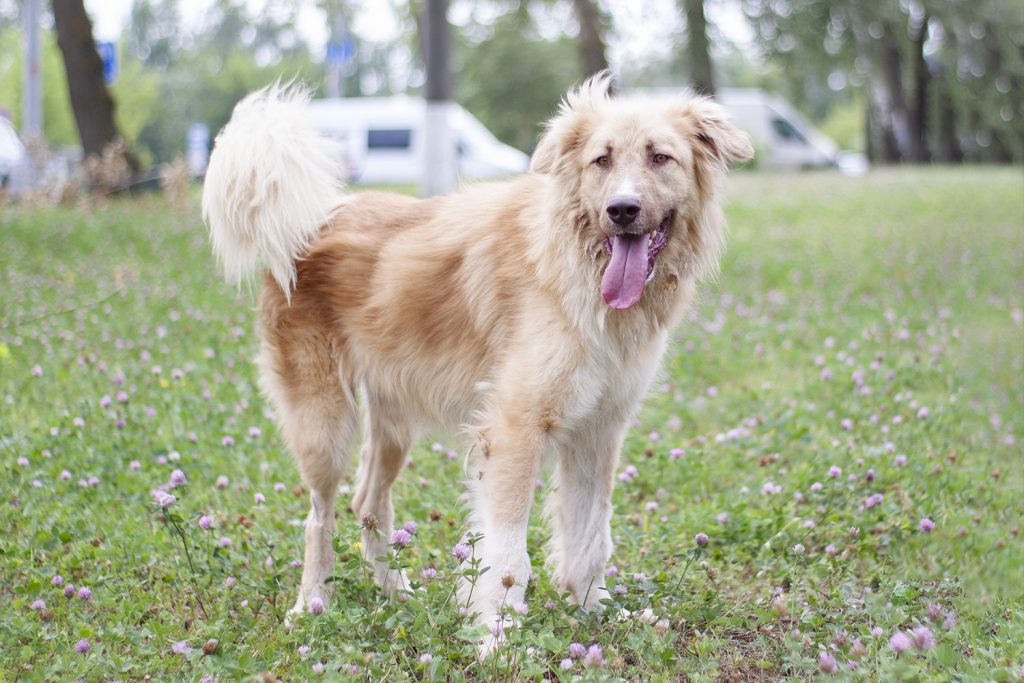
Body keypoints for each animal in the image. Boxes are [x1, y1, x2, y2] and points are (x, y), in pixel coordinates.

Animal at [201, 74, 753, 651]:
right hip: (325, 426)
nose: (621, 210)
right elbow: (508, 554)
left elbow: (589, 535)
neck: (574, 263)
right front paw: (497, 635)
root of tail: (315, 219)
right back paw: (311, 604)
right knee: (319, 517)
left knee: (368, 505)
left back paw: (397, 592)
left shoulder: (597, 433)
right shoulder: (514, 431)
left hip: (393, 426)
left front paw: (594, 610)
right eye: (601, 160)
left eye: (660, 157)